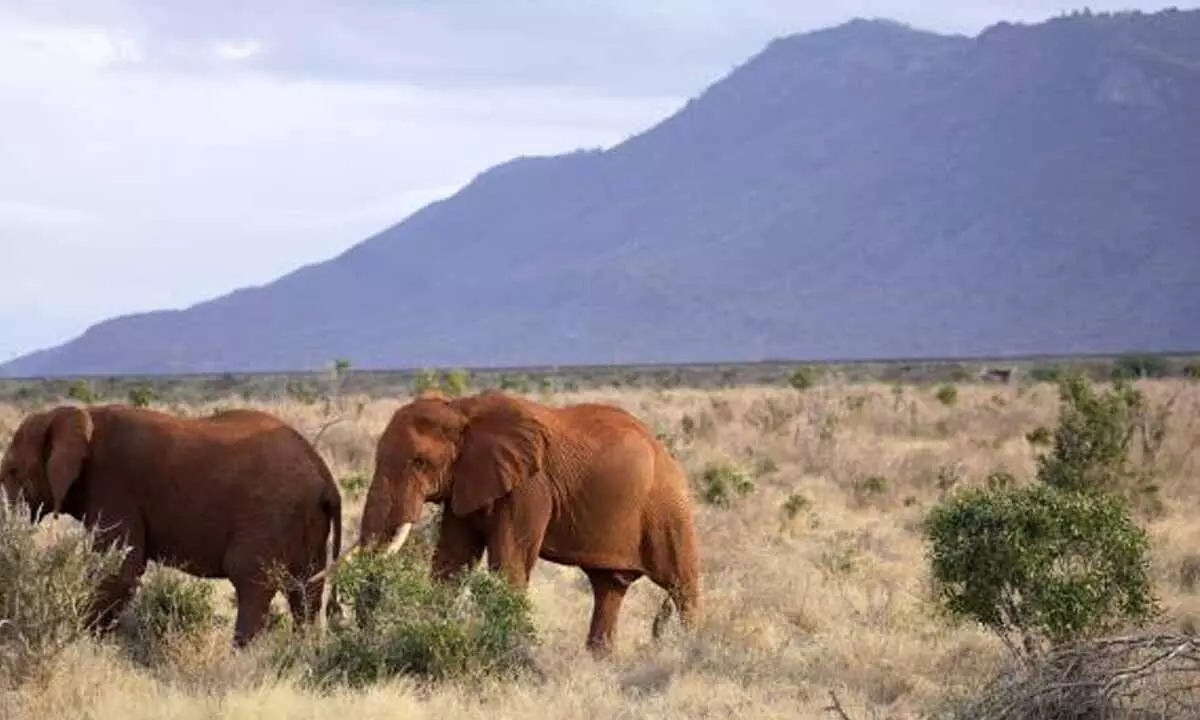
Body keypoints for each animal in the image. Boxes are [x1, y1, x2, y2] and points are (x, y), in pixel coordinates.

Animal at [0, 403, 343, 647]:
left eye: (12, 471)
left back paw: (239, 659)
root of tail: (325, 476)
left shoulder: (114, 486)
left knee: (252, 582)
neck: (75, 414)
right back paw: (300, 653)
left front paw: (82, 642)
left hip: (270, 511)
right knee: (306, 589)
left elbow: (119, 569)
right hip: (306, 521)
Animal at [313, 389, 702, 658]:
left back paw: (694, 649)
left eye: (420, 462)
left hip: (668, 507)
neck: (461, 410)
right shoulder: (466, 483)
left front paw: (513, 649)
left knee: (680, 584)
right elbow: (451, 560)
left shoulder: (530, 486)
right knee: (609, 587)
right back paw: (599, 661)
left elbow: (508, 563)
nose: (336, 615)